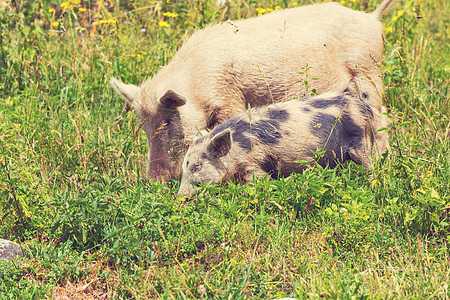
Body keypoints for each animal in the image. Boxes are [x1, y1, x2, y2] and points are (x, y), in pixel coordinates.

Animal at [110, 0, 396, 180]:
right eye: (144, 126)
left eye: (169, 121)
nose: (153, 180)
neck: (197, 83)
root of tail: (370, 17)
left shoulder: (230, 98)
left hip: (368, 71)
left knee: (381, 116)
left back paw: (383, 158)